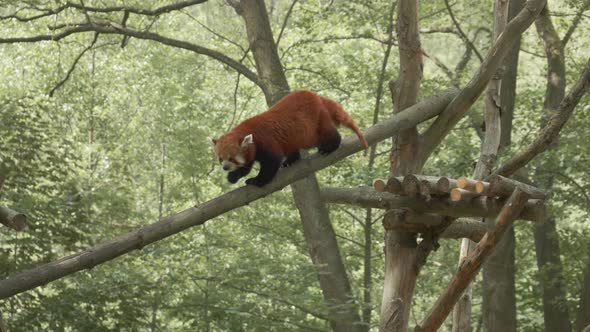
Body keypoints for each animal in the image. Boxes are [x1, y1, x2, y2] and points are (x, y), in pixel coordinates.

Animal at [209, 90, 370, 187]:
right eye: (220, 158)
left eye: (231, 158)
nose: (225, 167)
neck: (247, 130)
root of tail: (316, 96)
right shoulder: (253, 150)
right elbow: (247, 165)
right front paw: (233, 176)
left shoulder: (266, 142)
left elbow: (272, 162)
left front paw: (257, 181)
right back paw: (291, 161)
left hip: (315, 123)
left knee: (327, 134)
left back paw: (330, 146)